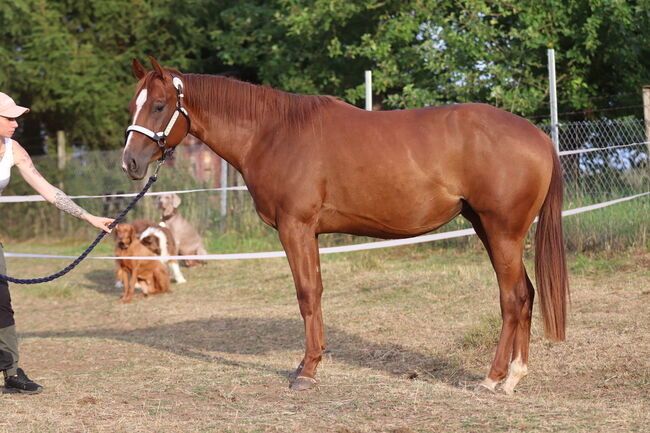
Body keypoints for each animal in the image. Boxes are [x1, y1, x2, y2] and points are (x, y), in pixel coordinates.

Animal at [123, 58, 568, 394]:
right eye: (134, 104)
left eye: (159, 105)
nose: (131, 162)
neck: (273, 133)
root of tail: (538, 136)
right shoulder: (310, 233)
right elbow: (316, 292)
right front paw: (311, 362)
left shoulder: (296, 228)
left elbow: (306, 294)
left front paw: (306, 372)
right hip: (486, 228)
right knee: (526, 294)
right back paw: (513, 377)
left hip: (502, 231)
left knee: (513, 297)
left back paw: (495, 379)